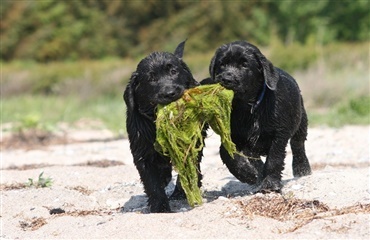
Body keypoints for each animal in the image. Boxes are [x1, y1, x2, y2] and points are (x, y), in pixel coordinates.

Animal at [123, 41, 199, 214]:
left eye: (173, 71)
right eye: (151, 78)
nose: (170, 93)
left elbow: (188, 169)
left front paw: (184, 190)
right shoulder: (142, 151)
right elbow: (152, 182)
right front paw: (160, 207)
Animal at [208, 40, 312, 192]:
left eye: (244, 64)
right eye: (222, 64)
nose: (226, 79)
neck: (249, 108)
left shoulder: (279, 135)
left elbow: (274, 159)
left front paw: (270, 183)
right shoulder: (234, 136)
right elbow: (226, 154)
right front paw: (248, 174)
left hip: (301, 121)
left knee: (298, 144)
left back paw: (302, 168)